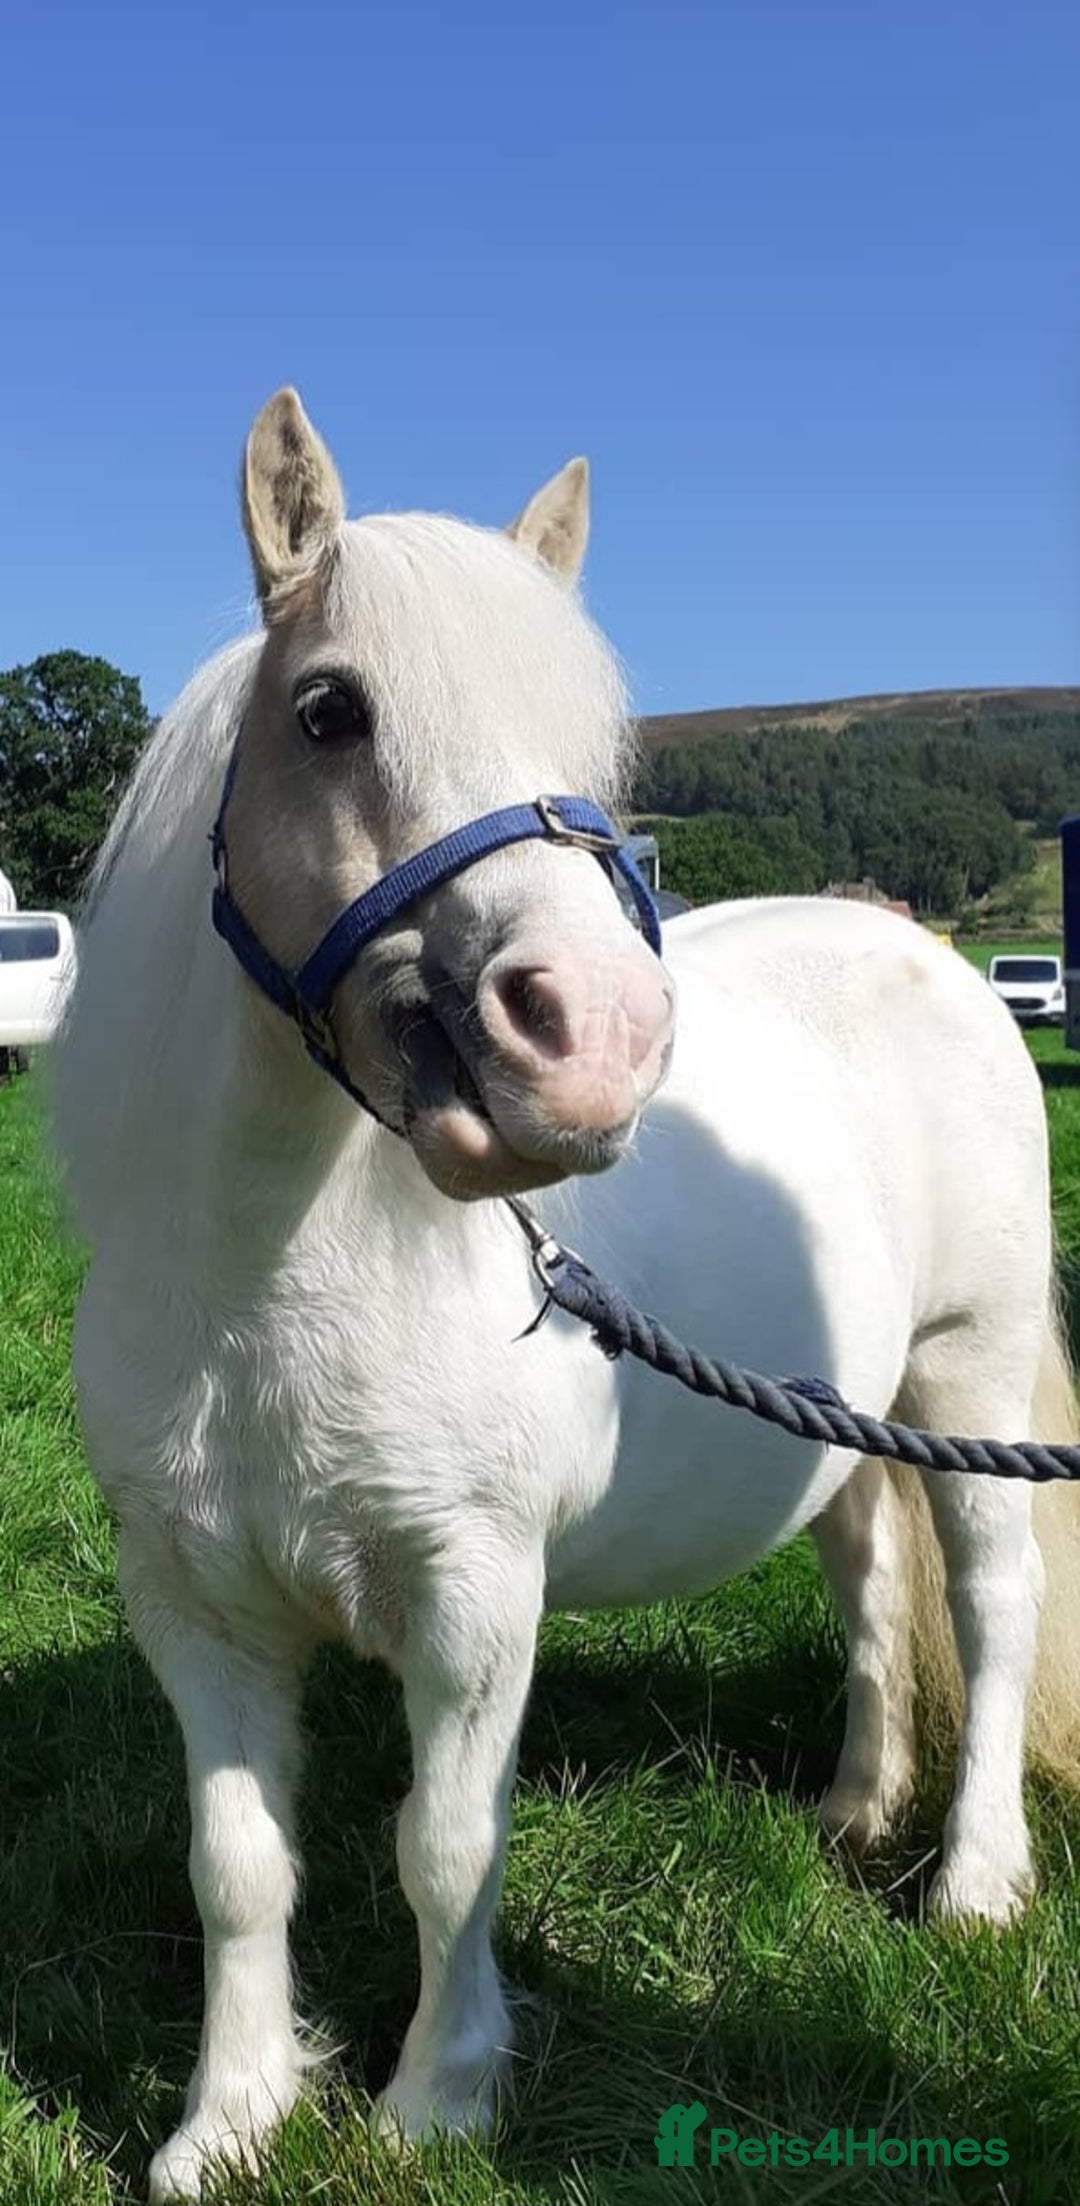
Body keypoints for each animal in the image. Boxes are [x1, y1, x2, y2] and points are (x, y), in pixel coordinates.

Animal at [53, 390, 1080, 2201]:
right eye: (330, 710)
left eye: (595, 764)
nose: (592, 1041)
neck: (268, 1287)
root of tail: (930, 958)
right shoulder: (194, 1603)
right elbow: (237, 1864)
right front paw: (225, 2123)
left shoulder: (474, 1592)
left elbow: (445, 1844)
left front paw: (435, 2101)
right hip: (849, 1416)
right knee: (872, 1584)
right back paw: (851, 1808)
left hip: (968, 1379)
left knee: (992, 1603)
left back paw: (969, 1883)